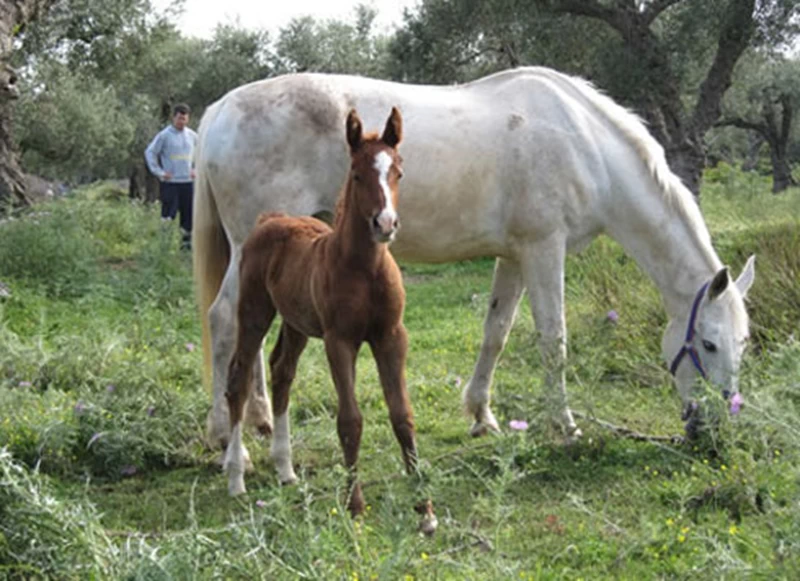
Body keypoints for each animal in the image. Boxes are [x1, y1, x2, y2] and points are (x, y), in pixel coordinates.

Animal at [194, 67, 756, 462]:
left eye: (742, 343)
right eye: (708, 343)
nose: (716, 427)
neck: (586, 145)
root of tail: (218, 110)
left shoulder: (514, 256)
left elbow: (496, 332)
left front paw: (481, 414)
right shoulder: (543, 248)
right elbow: (554, 340)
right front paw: (565, 427)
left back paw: (260, 421)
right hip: (248, 248)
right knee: (224, 321)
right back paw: (226, 435)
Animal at [222, 107, 416, 512]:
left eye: (398, 172)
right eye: (356, 173)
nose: (385, 223)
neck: (364, 269)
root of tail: (270, 218)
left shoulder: (391, 336)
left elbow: (402, 414)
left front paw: (424, 500)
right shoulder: (338, 340)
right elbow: (350, 420)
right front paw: (354, 503)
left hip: (296, 324)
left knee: (281, 372)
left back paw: (285, 469)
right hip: (254, 312)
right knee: (238, 379)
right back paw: (236, 478)